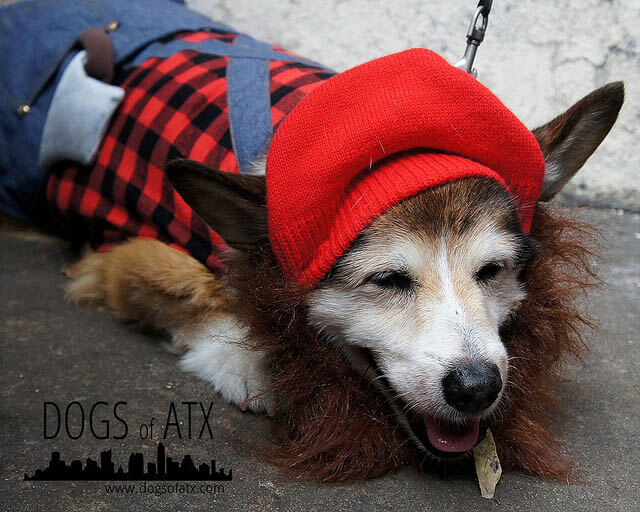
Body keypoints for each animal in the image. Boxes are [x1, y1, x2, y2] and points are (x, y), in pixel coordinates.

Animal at [1, 1, 624, 484]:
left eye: (492, 271)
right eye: (388, 280)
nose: (477, 387)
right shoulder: (124, 254)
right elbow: (193, 299)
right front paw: (245, 359)